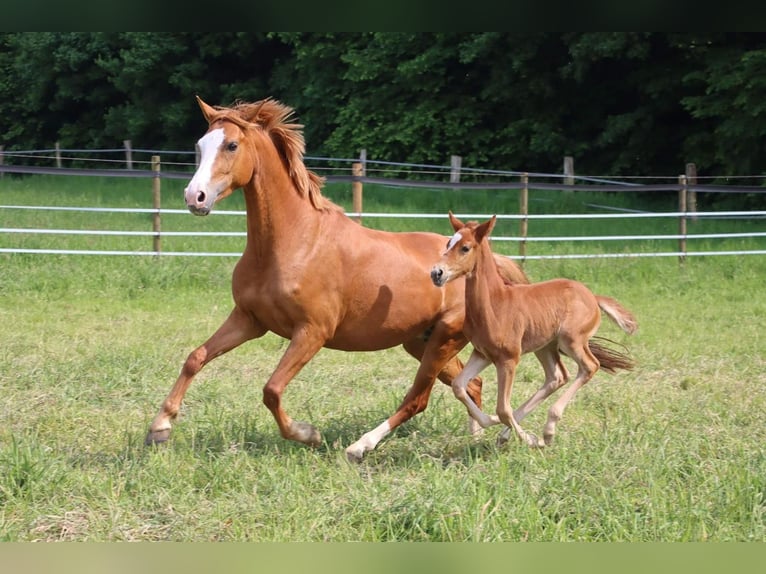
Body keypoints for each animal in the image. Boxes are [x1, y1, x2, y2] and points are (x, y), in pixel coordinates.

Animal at [428, 213, 640, 450]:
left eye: (465, 248)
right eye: (448, 243)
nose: (436, 273)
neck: (494, 304)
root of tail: (593, 297)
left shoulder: (508, 359)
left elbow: (503, 408)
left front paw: (527, 437)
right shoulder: (482, 354)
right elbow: (459, 386)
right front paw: (494, 422)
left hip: (571, 341)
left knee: (589, 366)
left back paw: (547, 431)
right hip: (545, 346)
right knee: (556, 377)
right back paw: (513, 434)